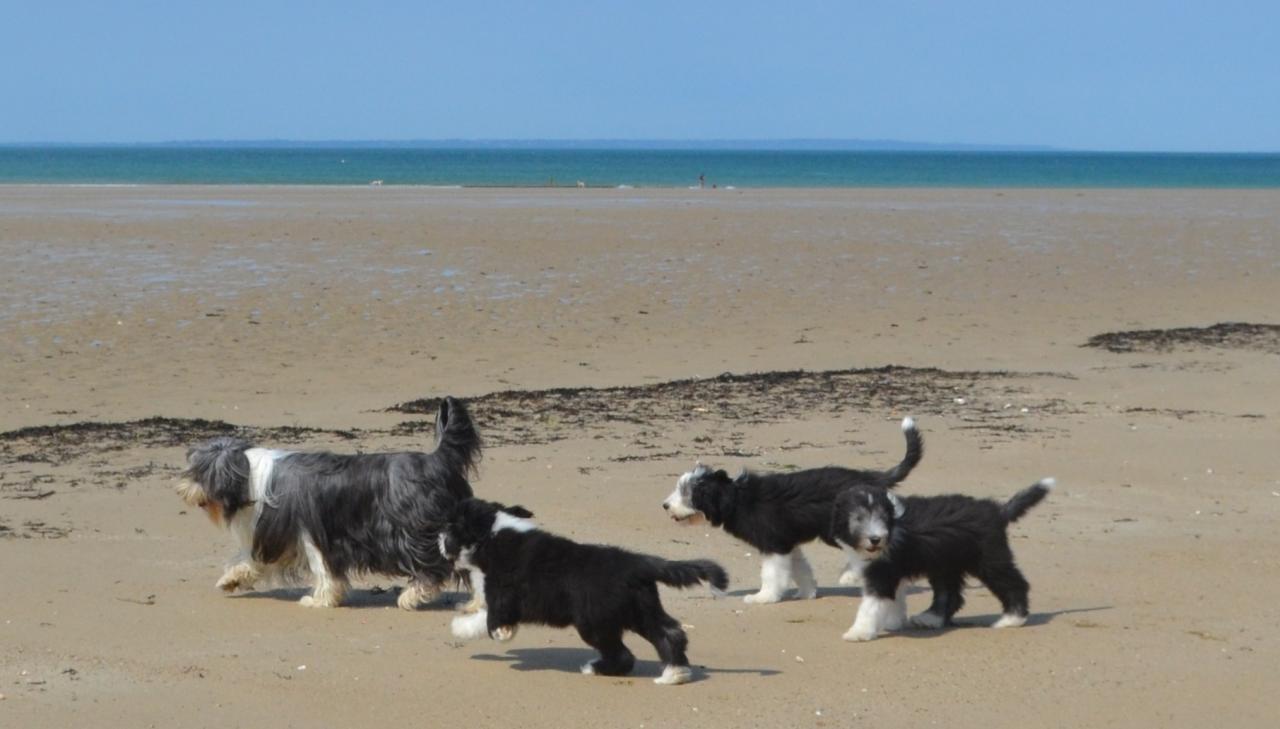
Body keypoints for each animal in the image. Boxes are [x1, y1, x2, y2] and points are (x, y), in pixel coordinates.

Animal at [177, 396, 481, 606]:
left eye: (198, 473)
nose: (181, 489)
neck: (251, 476)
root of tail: (437, 459)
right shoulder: (275, 534)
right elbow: (253, 559)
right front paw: (231, 579)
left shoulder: (312, 530)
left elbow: (321, 565)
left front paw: (320, 599)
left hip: (413, 532)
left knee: (433, 567)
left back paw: (412, 596)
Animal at [440, 493, 727, 680]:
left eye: (451, 527)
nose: (439, 540)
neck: (492, 535)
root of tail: (636, 563)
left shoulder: (503, 597)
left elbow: (490, 619)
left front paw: (467, 628)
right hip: (640, 609)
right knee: (669, 632)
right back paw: (675, 672)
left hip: (594, 622)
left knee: (623, 654)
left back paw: (595, 668)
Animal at [660, 414, 921, 601]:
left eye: (687, 493)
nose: (665, 505)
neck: (736, 499)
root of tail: (871, 477)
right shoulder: (787, 542)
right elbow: (800, 569)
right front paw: (807, 593)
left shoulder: (773, 544)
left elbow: (771, 574)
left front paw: (763, 597)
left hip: (838, 529)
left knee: (865, 550)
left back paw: (849, 575)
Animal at [834, 473, 1054, 639]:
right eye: (858, 518)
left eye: (881, 516)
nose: (875, 539)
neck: (892, 525)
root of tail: (998, 511)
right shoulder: (894, 571)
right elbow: (896, 599)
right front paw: (893, 622)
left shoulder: (882, 573)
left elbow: (870, 604)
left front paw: (859, 632)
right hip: (946, 565)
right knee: (950, 594)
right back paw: (931, 618)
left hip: (989, 559)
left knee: (1014, 583)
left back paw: (1012, 619)